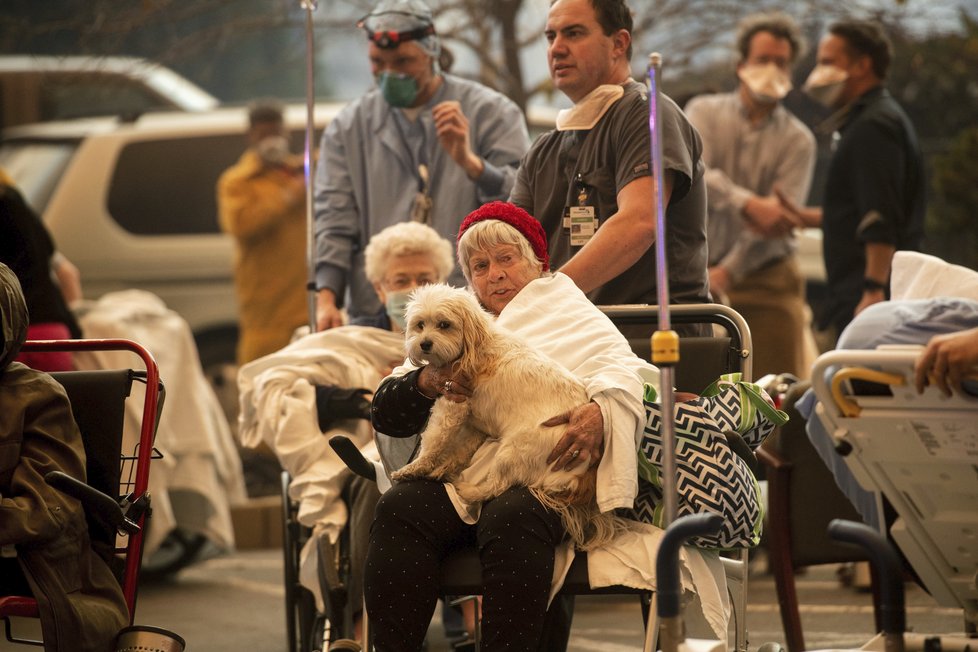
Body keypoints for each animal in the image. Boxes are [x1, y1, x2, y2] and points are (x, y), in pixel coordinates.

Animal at [388, 282, 624, 548]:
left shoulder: (452, 405)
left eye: (444, 325)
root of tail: (579, 477)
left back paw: (465, 489)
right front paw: (443, 467)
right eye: (420, 325)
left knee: (496, 486)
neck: (477, 344)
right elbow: (459, 451)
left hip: (512, 451)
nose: (424, 343)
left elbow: (434, 441)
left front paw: (414, 468)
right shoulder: (473, 423)